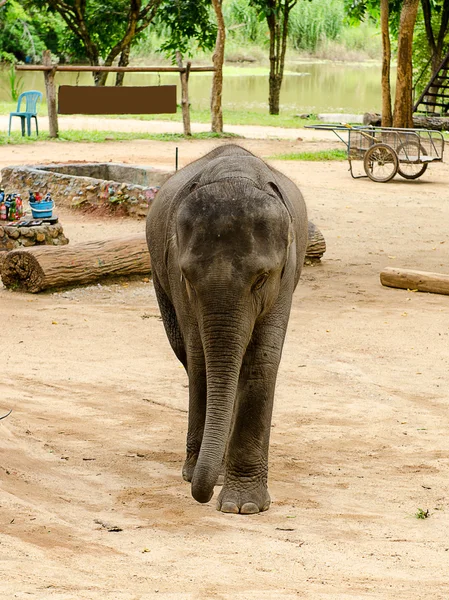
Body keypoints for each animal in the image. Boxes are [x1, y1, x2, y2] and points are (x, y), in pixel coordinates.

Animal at [147, 143, 308, 512]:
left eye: (261, 278)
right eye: (188, 277)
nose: (200, 493)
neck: (234, 173)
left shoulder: (287, 273)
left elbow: (262, 359)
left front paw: (243, 507)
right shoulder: (175, 276)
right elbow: (200, 359)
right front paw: (202, 476)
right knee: (186, 354)